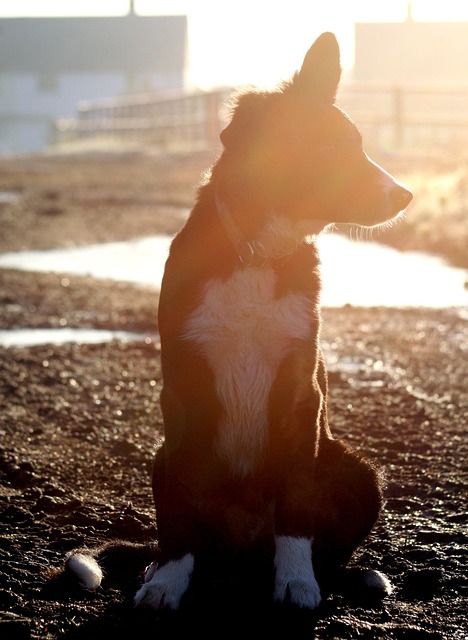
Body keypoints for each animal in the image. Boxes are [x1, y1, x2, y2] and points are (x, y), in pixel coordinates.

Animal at [67, 32, 412, 612]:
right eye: (328, 148)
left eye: (358, 143)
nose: (405, 196)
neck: (257, 252)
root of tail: (242, 559)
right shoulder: (185, 390)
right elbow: (182, 506)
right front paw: (167, 582)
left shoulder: (299, 392)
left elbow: (296, 508)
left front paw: (296, 582)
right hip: (160, 456)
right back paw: (160, 566)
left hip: (359, 470)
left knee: (326, 546)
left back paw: (351, 577)